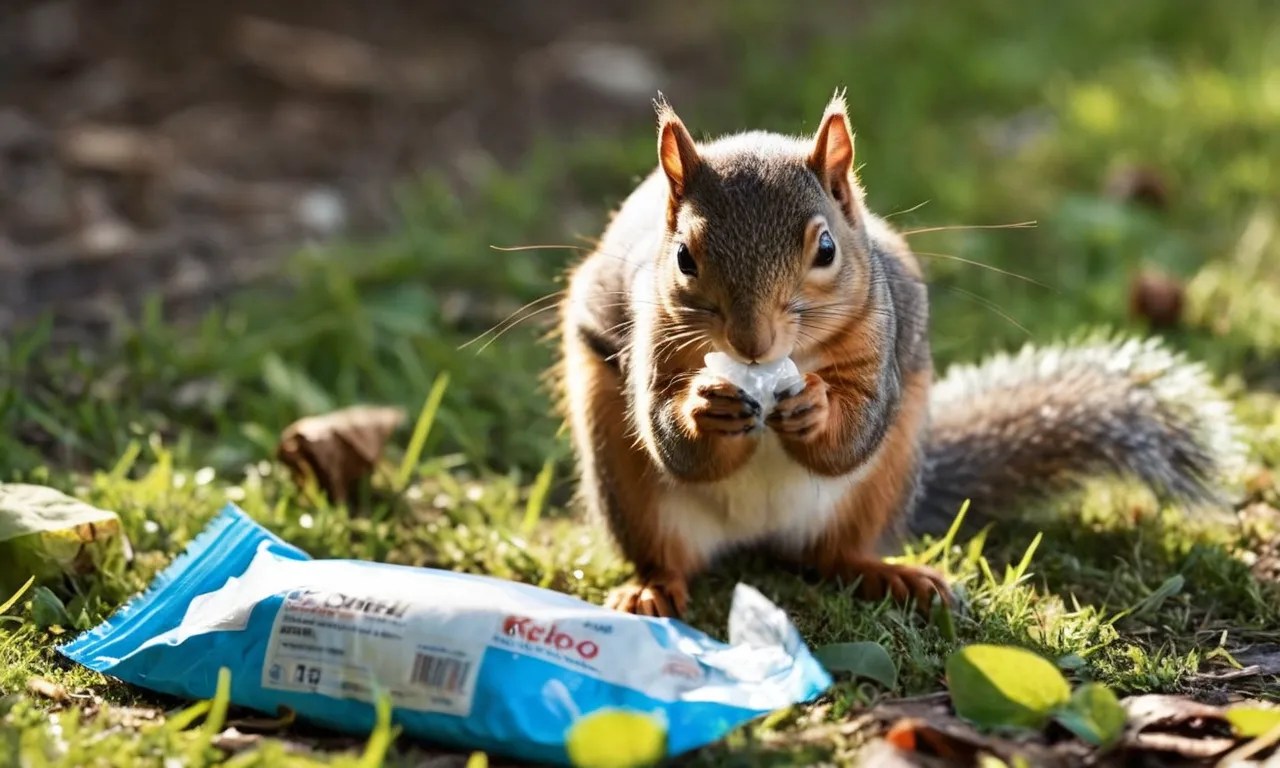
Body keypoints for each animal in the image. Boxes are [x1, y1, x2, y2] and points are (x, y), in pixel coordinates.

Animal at [553, 90, 1244, 618]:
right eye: (683, 258)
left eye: (826, 249)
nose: (752, 345)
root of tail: (758, 534)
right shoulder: (652, 337)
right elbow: (670, 439)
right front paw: (706, 406)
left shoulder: (879, 343)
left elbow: (853, 434)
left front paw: (816, 411)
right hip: (626, 481)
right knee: (668, 555)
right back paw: (651, 590)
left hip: (886, 474)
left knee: (833, 556)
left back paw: (894, 576)